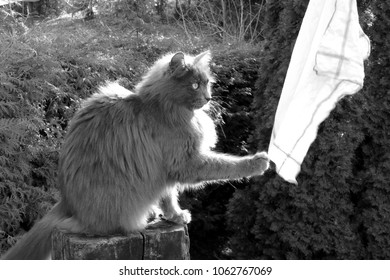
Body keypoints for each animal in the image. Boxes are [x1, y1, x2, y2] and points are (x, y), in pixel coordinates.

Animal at [0, 50, 268, 260]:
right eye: (194, 85)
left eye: (207, 83)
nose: (208, 97)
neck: (164, 107)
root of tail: (68, 204)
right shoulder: (183, 161)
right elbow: (224, 166)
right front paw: (257, 162)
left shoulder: (164, 172)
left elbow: (168, 196)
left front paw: (174, 216)